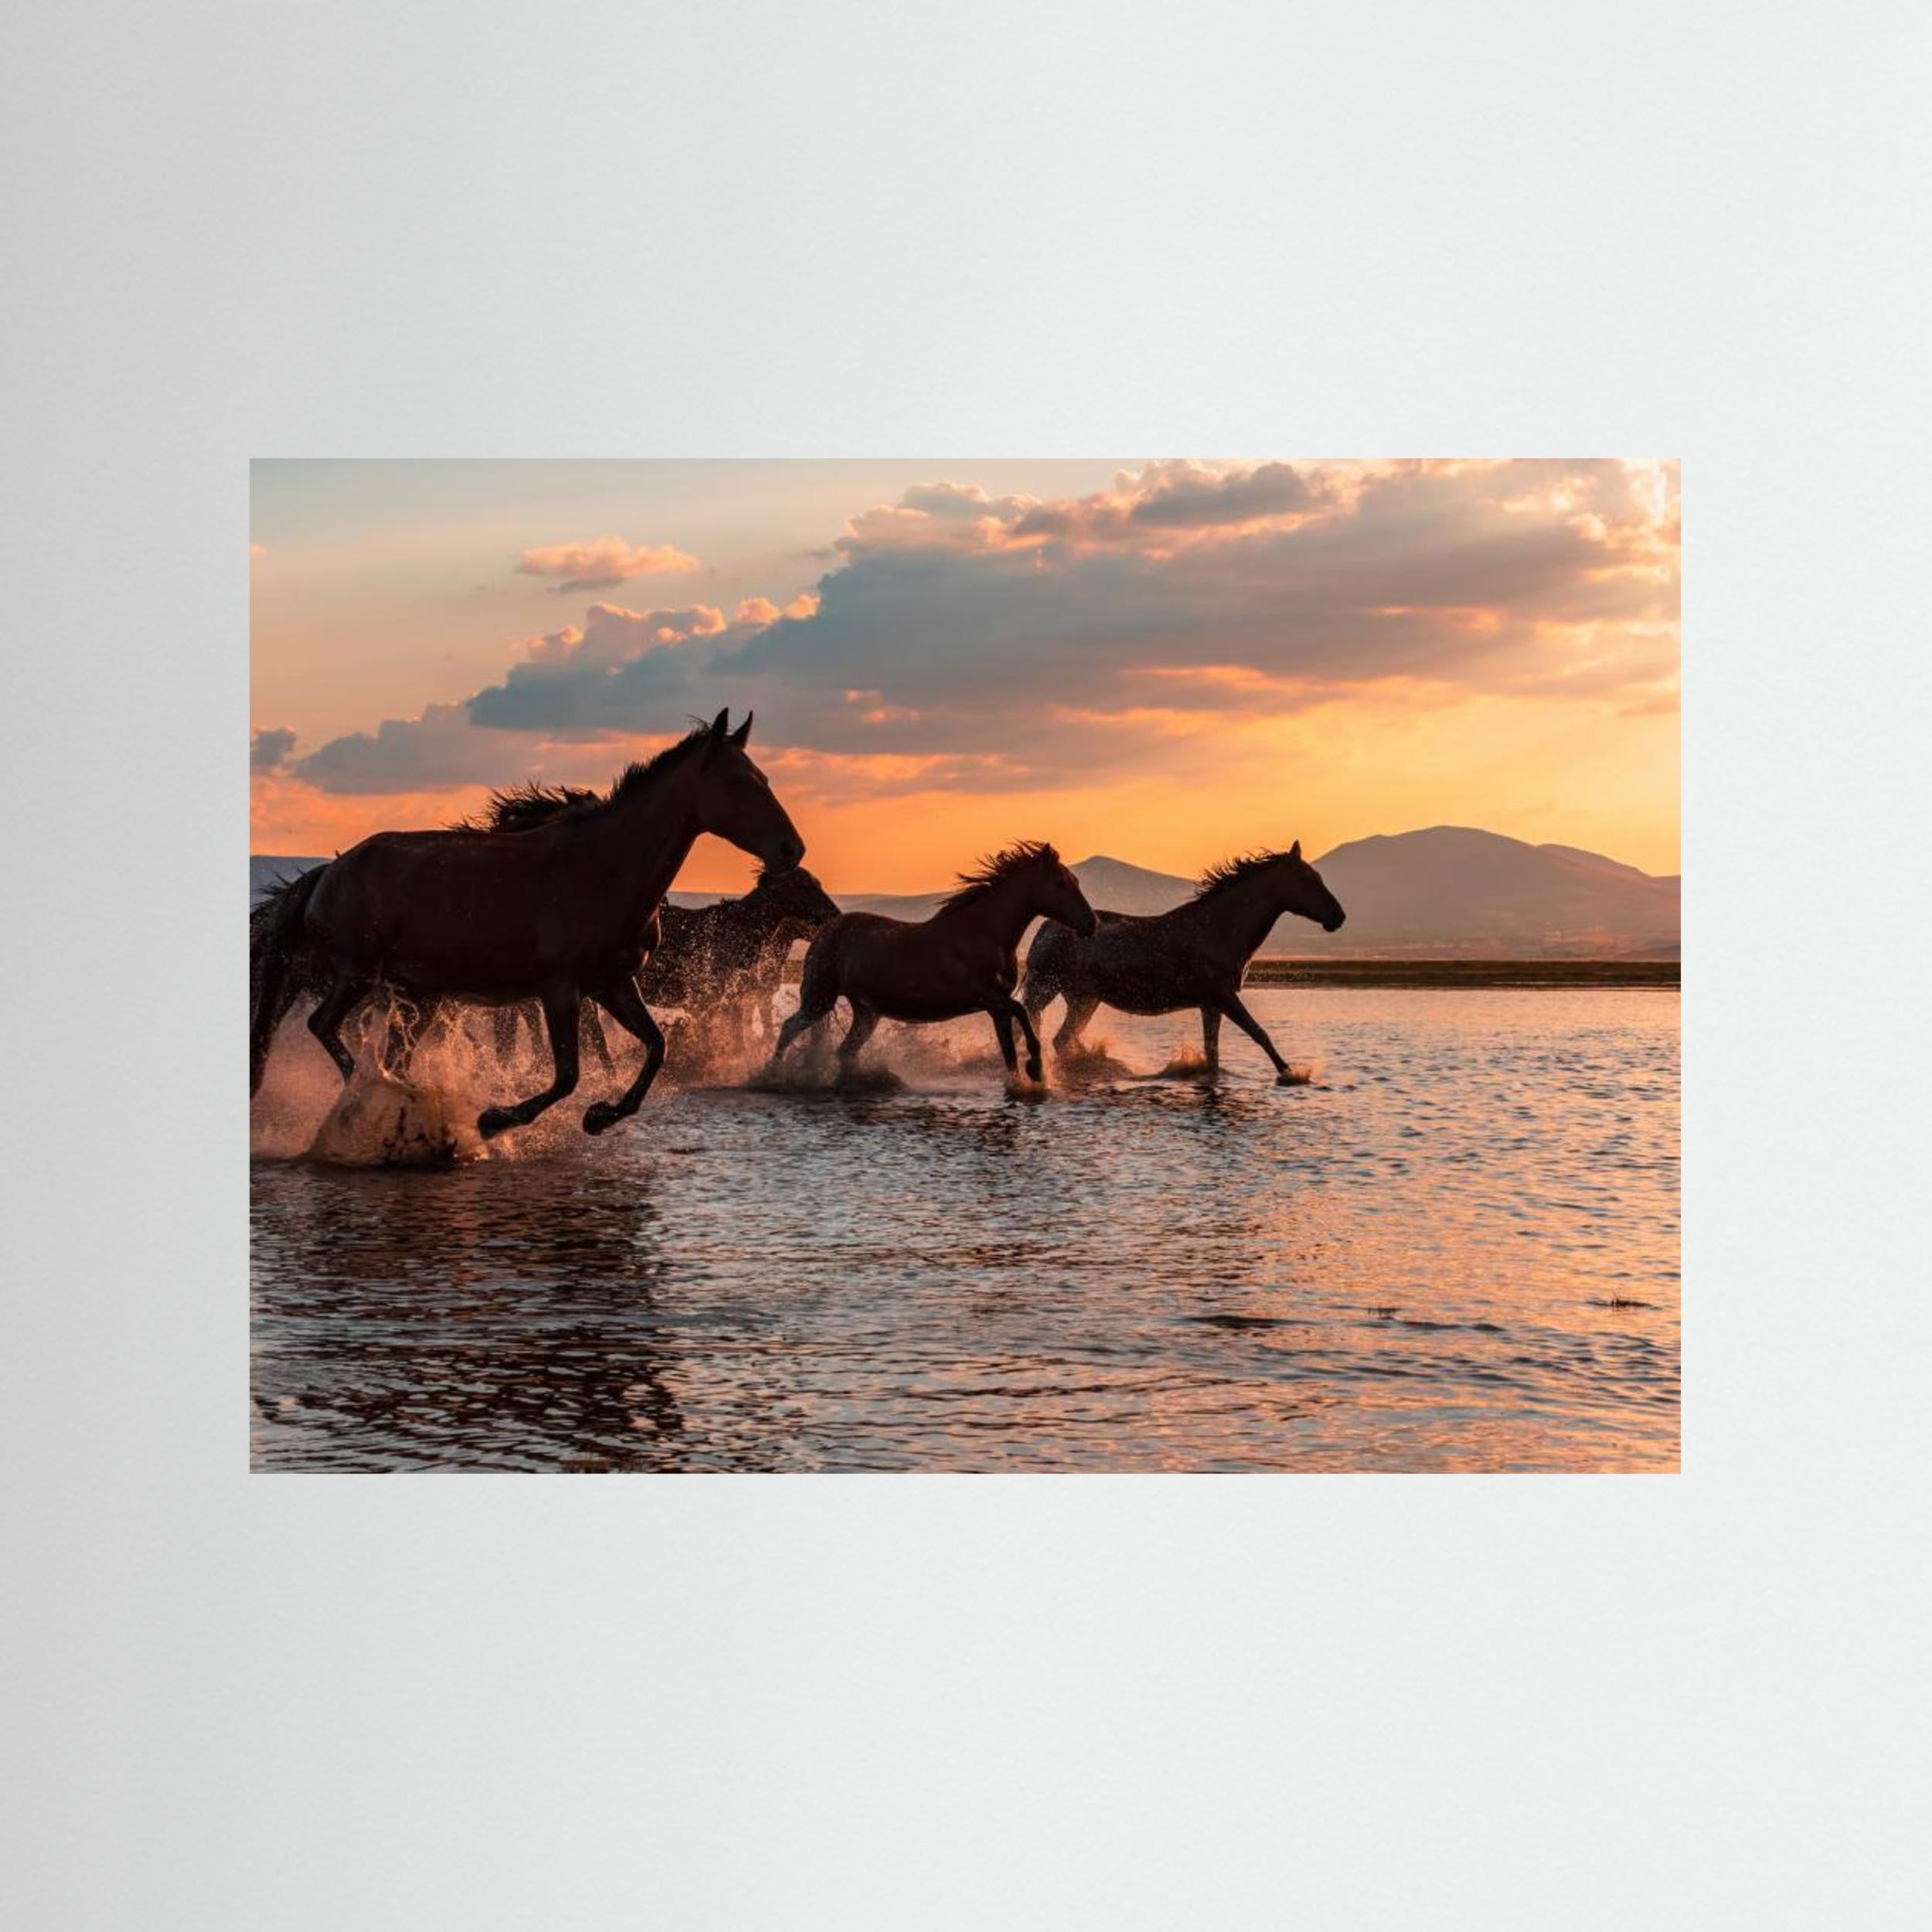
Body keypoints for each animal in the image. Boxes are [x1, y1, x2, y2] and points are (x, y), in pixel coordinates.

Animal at [249, 710, 804, 1137]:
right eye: (738, 781)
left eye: (766, 778)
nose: (790, 849)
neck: (602, 867)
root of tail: (329, 871)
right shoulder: (558, 989)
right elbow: (567, 1075)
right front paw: (496, 1119)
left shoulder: (612, 984)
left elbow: (655, 1048)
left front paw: (601, 1116)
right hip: (359, 974)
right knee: (324, 1026)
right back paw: (375, 1097)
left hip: (418, 994)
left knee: (391, 1054)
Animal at [770, 842, 1097, 1083]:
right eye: (1061, 883)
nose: (1092, 924)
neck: (984, 933)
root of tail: (824, 932)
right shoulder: (986, 998)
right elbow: (1022, 1012)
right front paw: (1037, 1069)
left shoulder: (996, 1008)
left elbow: (1009, 1052)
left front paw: (1024, 1080)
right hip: (819, 999)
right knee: (788, 1029)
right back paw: (772, 1075)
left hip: (866, 1012)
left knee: (845, 1051)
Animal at [1020, 844, 1345, 1082]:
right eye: (1307, 879)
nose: (1338, 917)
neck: (1219, 929)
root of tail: (1046, 928)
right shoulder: (1224, 997)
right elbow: (1259, 1034)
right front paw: (1291, 1074)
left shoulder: (1211, 1005)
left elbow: (1213, 1053)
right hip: (1046, 989)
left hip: (1084, 999)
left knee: (1062, 1039)